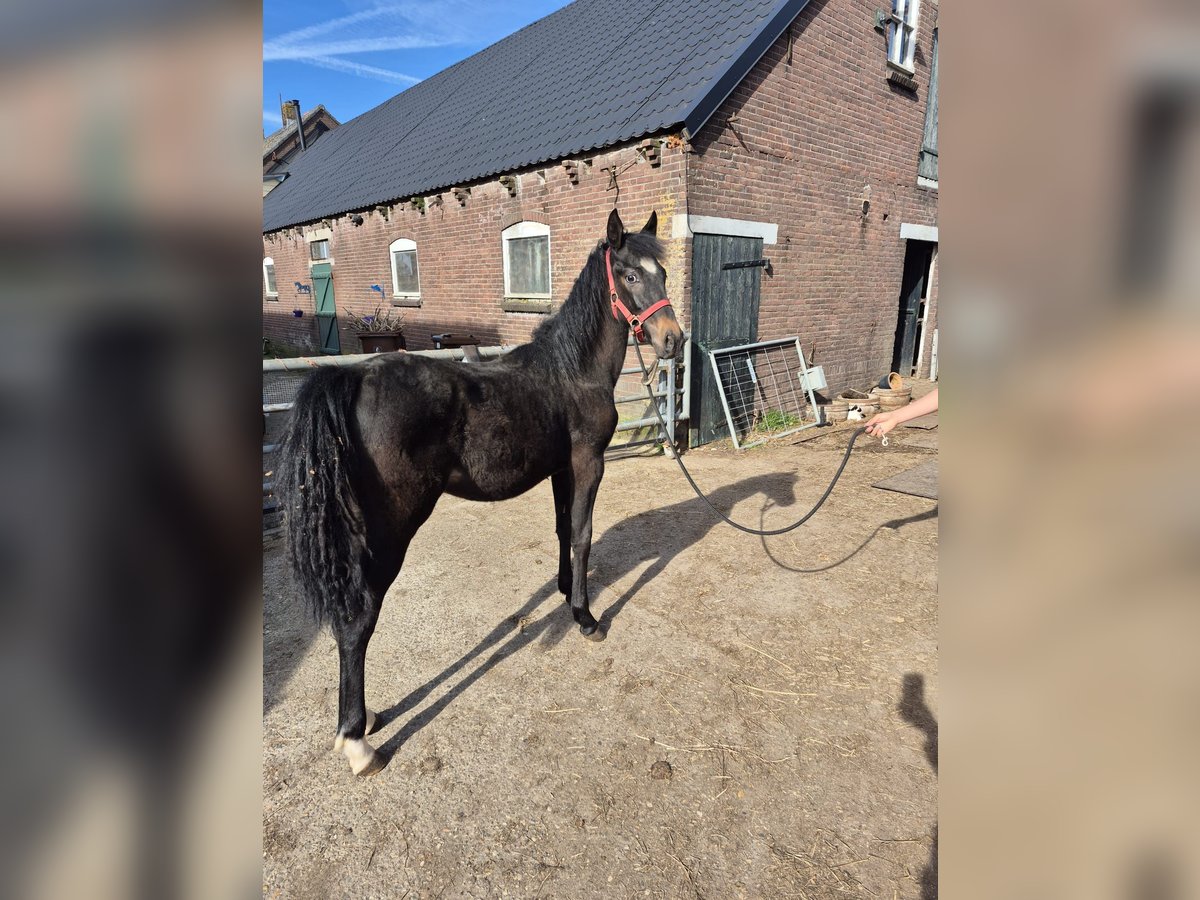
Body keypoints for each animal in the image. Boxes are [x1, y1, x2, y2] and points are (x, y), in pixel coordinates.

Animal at [278, 209, 685, 775]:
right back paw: (358, 741)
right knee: (358, 618)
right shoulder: (588, 463)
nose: (674, 340)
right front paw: (586, 618)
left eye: (662, 274)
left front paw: (566, 593)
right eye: (629, 274)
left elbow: (563, 530)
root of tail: (353, 378)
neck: (571, 372)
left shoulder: (561, 469)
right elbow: (582, 535)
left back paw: (366, 720)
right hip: (391, 532)